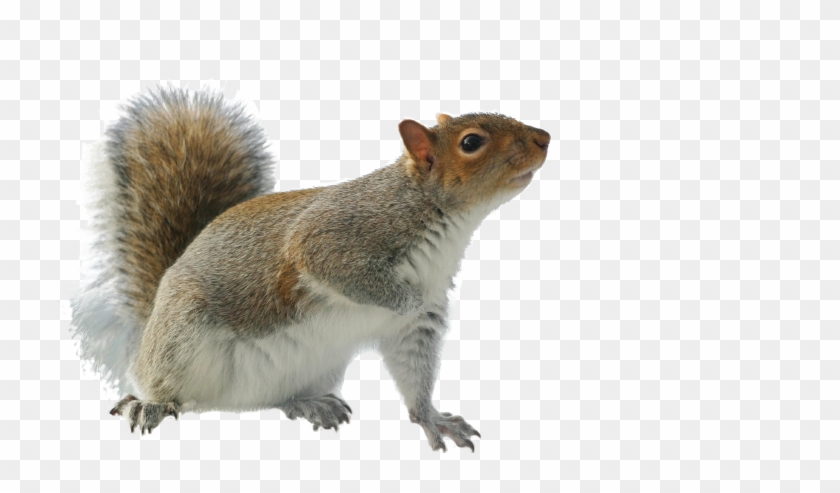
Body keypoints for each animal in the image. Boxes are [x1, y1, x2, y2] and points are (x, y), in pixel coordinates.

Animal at [72, 86, 550, 452]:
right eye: (471, 143)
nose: (544, 137)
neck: (440, 218)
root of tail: (151, 319)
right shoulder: (334, 238)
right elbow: (341, 271)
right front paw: (402, 298)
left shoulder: (415, 329)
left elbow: (414, 369)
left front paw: (432, 418)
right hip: (180, 335)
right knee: (162, 385)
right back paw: (149, 404)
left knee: (269, 399)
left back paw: (307, 404)